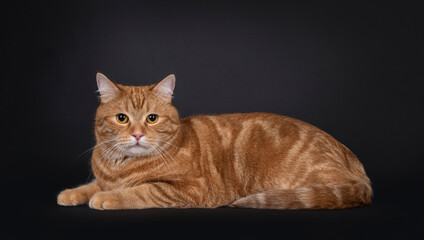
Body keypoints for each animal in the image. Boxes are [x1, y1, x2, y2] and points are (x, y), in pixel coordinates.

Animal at [57, 73, 372, 210]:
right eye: (122, 118)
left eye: (152, 118)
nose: (137, 134)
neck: (119, 167)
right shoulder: (103, 177)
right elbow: (91, 185)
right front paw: (72, 193)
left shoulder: (190, 188)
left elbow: (139, 191)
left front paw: (108, 197)